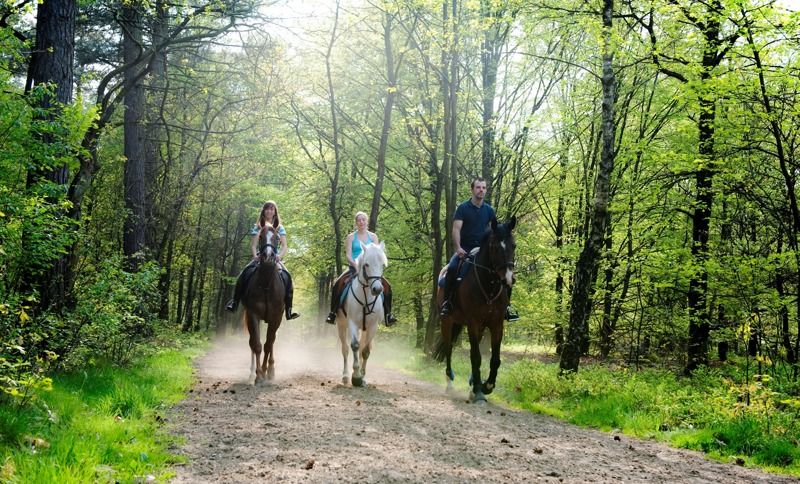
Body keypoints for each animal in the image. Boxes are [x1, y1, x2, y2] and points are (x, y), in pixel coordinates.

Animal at [242, 224, 286, 386]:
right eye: (260, 236)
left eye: (277, 238)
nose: (268, 256)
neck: (266, 284)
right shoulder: (253, 315)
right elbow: (257, 345)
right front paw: (259, 375)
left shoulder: (276, 317)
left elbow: (268, 344)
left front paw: (266, 372)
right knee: (253, 343)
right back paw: (252, 373)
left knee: (271, 342)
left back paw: (271, 371)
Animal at [334, 244, 388, 388]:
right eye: (366, 264)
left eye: (383, 265)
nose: (377, 289)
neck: (366, 297)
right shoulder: (352, 323)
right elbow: (354, 346)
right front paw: (356, 376)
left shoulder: (373, 326)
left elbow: (365, 351)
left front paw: (362, 377)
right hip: (341, 325)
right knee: (345, 349)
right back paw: (346, 376)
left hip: (364, 329)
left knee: (362, 347)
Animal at [434, 217, 516, 402]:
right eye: (494, 246)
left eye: (513, 245)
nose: (508, 279)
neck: (488, 286)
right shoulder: (473, 322)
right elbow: (476, 357)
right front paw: (479, 391)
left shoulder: (496, 324)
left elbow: (495, 359)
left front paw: (487, 385)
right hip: (447, 321)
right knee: (449, 349)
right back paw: (450, 383)